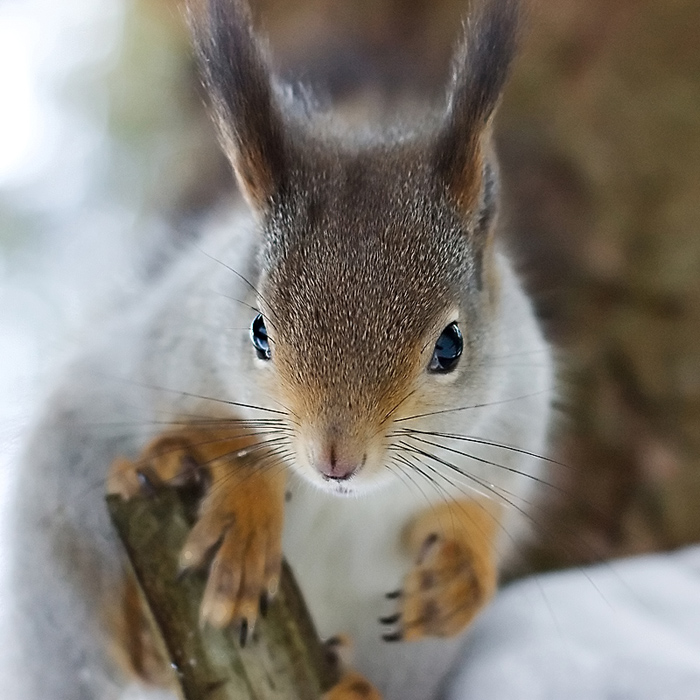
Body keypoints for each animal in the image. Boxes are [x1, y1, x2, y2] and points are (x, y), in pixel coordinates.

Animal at [2, 0, 556, 696]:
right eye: (259, 332)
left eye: (451, 346)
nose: (335, 459)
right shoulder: (177, 340)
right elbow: (213, 427)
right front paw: (243, 515)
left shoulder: (517, 412)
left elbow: (481, 509)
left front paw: (458, 574)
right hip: (65, 533)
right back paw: (145, 630)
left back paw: (351, 680)